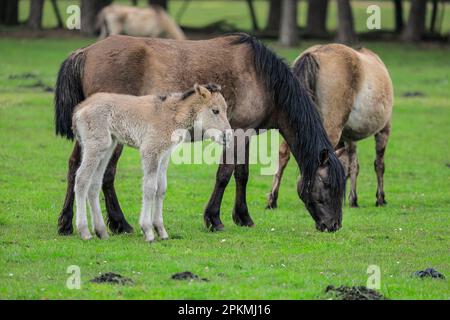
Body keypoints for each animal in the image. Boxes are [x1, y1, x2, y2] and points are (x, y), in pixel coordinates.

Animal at [73, 84, 232, 241]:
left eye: (226, 109)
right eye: (215, 111)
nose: (228, 136)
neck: (171, 114)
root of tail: (80, 108)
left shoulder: (164, 155)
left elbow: (161, 189)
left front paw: (161, 231)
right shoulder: (150, 152)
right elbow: (150, 189)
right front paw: (148, 231)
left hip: (107, 147)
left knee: (94, 184)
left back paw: (101, 232)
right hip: (95, 146)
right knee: (81, 179)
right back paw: (85, 231)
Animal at [268, 44, 394, 210]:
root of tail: (314, 53)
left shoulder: (349, 137)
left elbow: (353, 165)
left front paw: (353, 199)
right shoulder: (383, 130)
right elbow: (378, 164)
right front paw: (380, 198)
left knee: (283, 153)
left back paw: (272, 199)